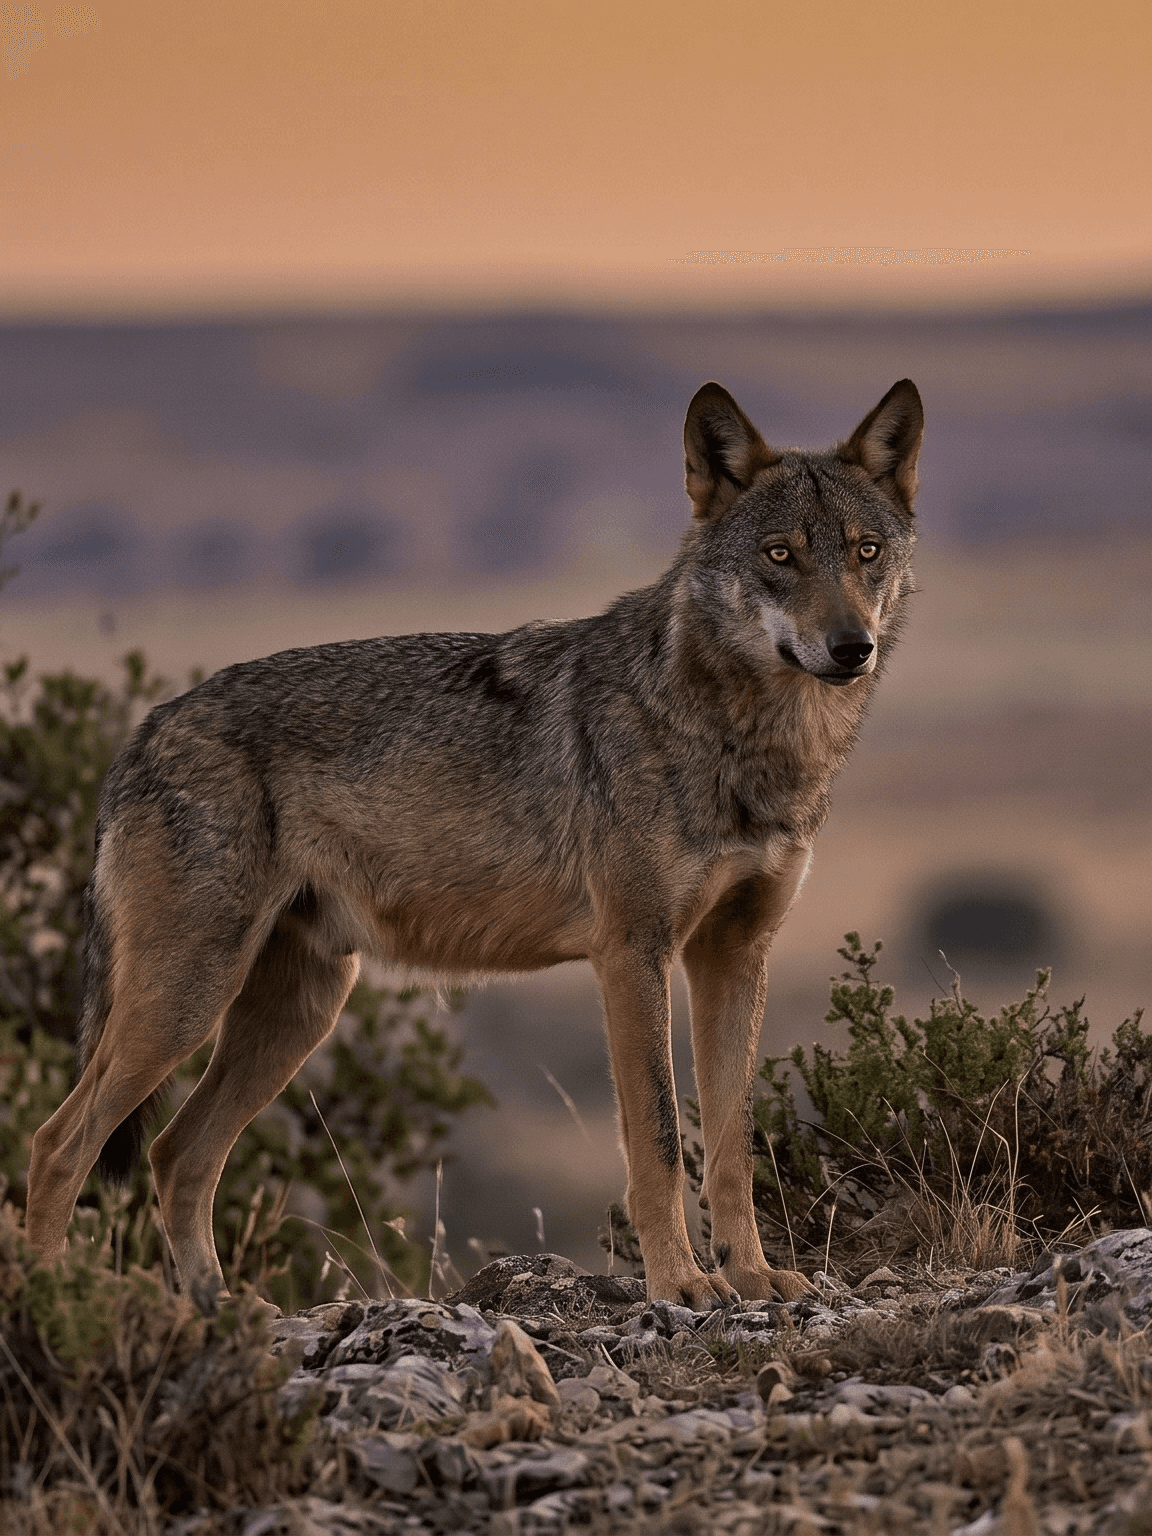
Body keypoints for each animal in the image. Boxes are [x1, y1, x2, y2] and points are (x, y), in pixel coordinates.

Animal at [26, 377, 923, 1313]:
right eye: (781, 555)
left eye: (864, 553)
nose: (851, 647)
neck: (747, 744)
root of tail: (144, 729)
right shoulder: (631, 952)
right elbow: (656, 1140)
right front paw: (680, 1282)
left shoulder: (736, 954)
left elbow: (732, 1148)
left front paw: (750, 1276)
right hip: (186, 1003)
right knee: (58, 1145)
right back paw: (54, 1305)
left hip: (296, 1011)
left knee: (176, 1153)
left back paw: (221, 1306)